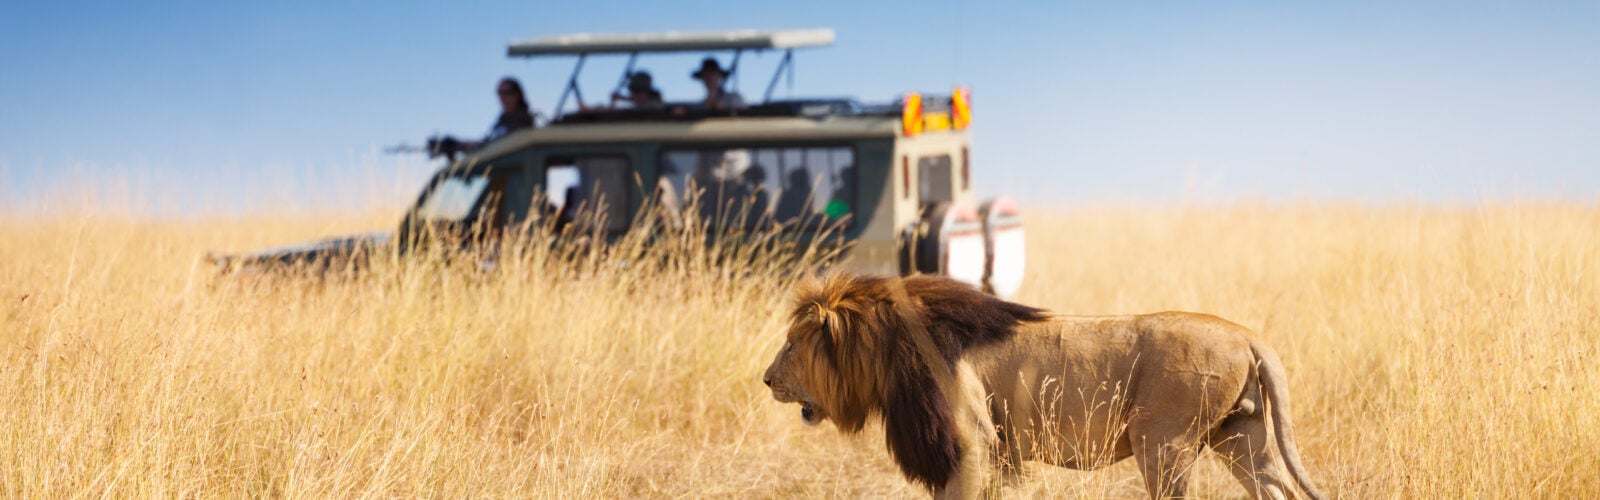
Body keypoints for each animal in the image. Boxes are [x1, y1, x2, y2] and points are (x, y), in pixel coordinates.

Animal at [761, 274, 1324, 500]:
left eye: (790, 345)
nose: (766, 380)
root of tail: (1247, 335)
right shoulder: (984, 453)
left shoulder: (969, 443)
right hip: (1242, 436)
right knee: (1275, 486)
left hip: (1162, 443)